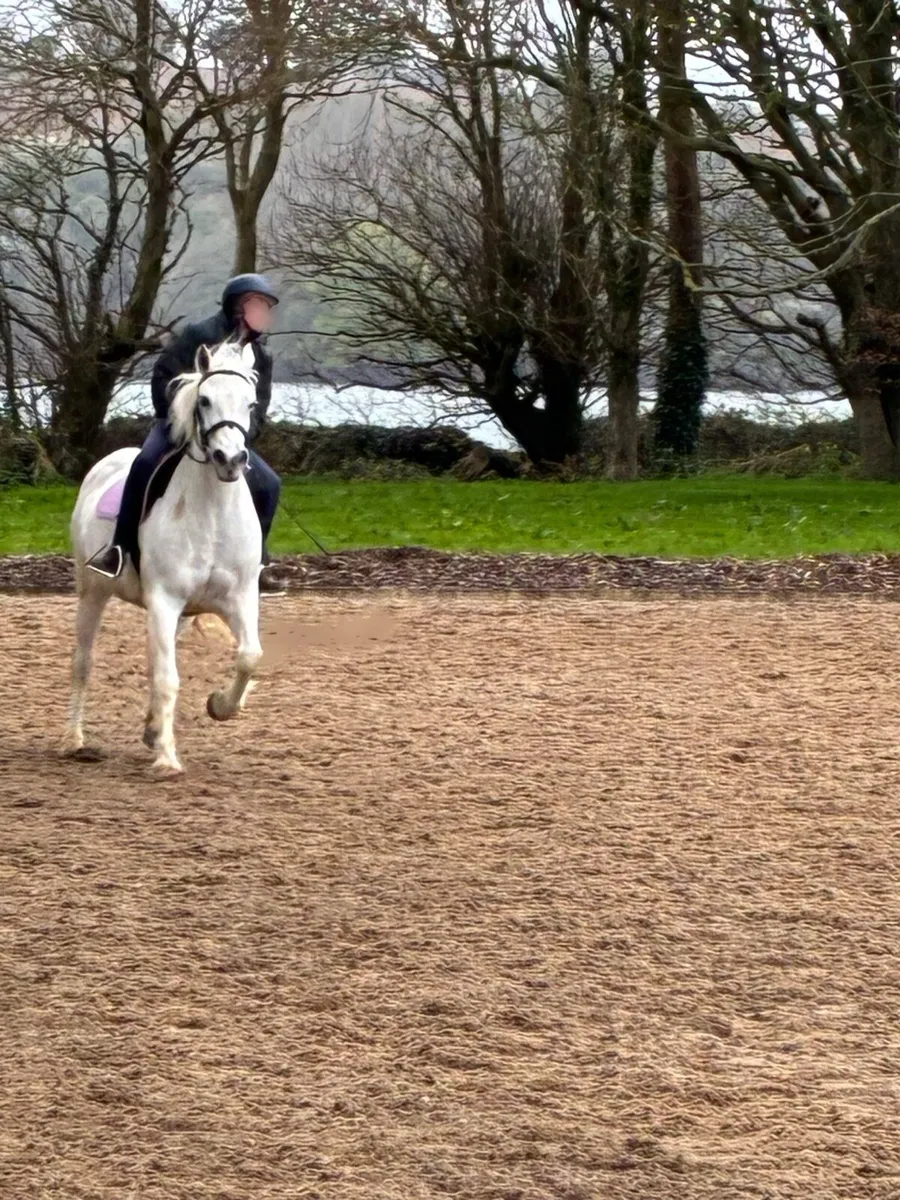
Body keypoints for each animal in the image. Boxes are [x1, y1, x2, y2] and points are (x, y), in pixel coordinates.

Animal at [66, 340, 265, 778]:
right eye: (205, 400)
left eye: (251, 403)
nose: (230, 460)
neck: (212, 510)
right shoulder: (164, 601)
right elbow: (168, 678)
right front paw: (167, 758)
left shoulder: (239, 599)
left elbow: (249, 657)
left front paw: (220, 705)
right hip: (92, 592)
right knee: (83, 662)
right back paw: (74, 740)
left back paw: (151, 728)